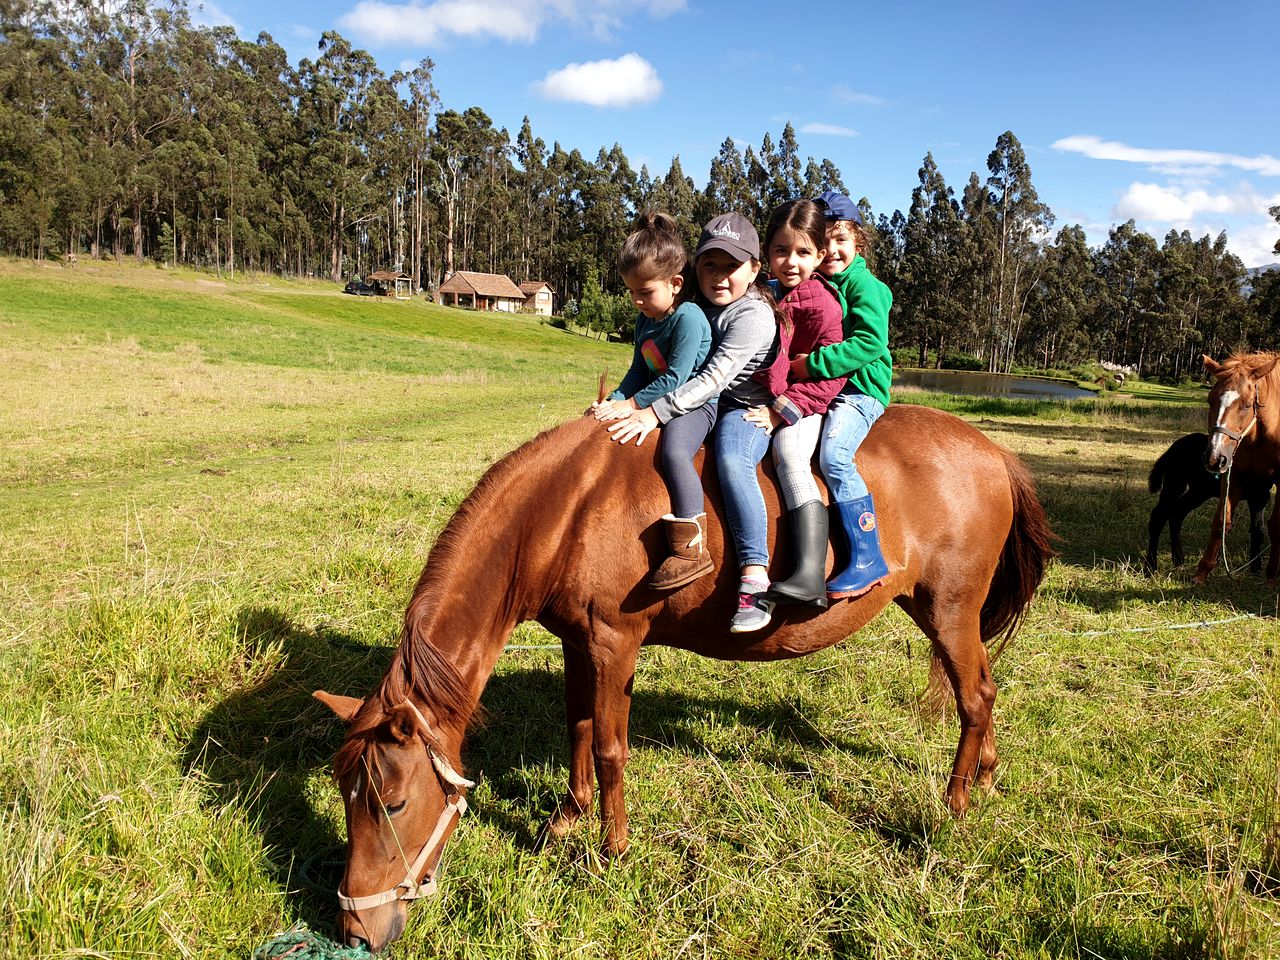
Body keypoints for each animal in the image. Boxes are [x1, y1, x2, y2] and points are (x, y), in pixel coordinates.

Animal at [309, 407, 1049, 957]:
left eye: (395, 802)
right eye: (344, 797)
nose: (354, 929)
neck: (566, 507)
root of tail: (995, 453)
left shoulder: (614, 641)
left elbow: (611, 747)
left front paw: (612, 847)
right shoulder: (577, 642)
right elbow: (578, 727)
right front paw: (568, 818)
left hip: (947, 611)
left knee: (975, 696)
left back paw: (954, 803)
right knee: (986, 692)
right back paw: (985, 776)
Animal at [1146, 437, 1274, 578]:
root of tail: (1172, 447)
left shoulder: (1260, 496)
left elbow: (1258, 528)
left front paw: (1255, 566)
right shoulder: (1245, 494)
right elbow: (1226, 524)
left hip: (1199, 492)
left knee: (1177, 513)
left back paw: (1178, 559)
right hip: (1175, 483)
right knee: (1158, 516)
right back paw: (1150, 567)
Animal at [1187, 350, 1280, 583]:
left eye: (1247, 405)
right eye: (1210, 400)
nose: (1213, 457)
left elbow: (1276, 526)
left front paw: (1273, 573)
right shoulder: (1234, 474)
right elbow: (1222, 520)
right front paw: (1203, 571)